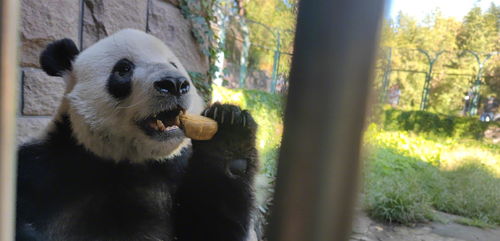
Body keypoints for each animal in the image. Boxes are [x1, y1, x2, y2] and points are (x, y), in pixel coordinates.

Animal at [16, 28, 258, 241]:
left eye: (173, 64)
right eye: (124, 68)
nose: (174, 83)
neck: (125, 160)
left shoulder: (174, 172)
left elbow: (211, 226)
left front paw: (230, 131)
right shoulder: (43, 171)